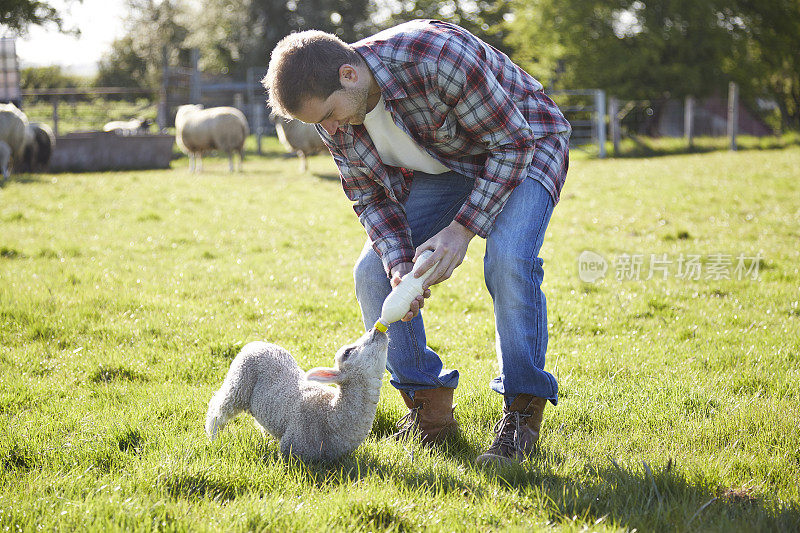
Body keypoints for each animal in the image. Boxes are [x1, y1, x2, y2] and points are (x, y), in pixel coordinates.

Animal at [205, 326, 390, 460]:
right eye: (347, 352)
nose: (374, 330)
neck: (331, 416)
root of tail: (256, 344)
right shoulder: (293, 446)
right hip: (239, 381)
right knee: (218, 407)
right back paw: (212, 436)